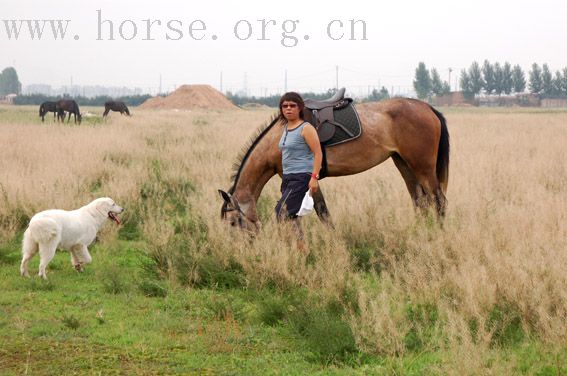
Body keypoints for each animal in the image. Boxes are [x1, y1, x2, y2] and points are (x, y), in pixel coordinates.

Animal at [220, 95, 450, 234]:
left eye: (232, 222)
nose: (239, 251)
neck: (280, 137)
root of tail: (427, 107)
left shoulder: (305, 179)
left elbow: (321, 212)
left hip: (422, 166)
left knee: (438, 200)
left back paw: (437, 234)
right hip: (404, 164)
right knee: (420, 200)